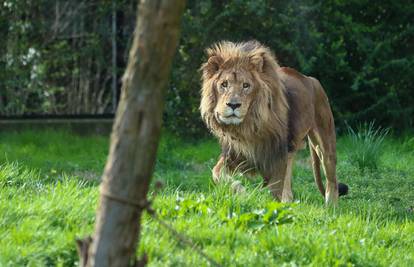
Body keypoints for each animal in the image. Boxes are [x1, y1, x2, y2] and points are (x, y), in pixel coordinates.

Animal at [199, 40, 348, 206]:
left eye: (246, 85)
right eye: (224, 84)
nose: (233, 104)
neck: (248, 126)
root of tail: (310, 79)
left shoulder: (277, 154)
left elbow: (275, 190)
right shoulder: (235, 154)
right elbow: (216, 173)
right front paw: (242, 192)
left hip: (324, 141)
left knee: (331, 178)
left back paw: (331, 206)